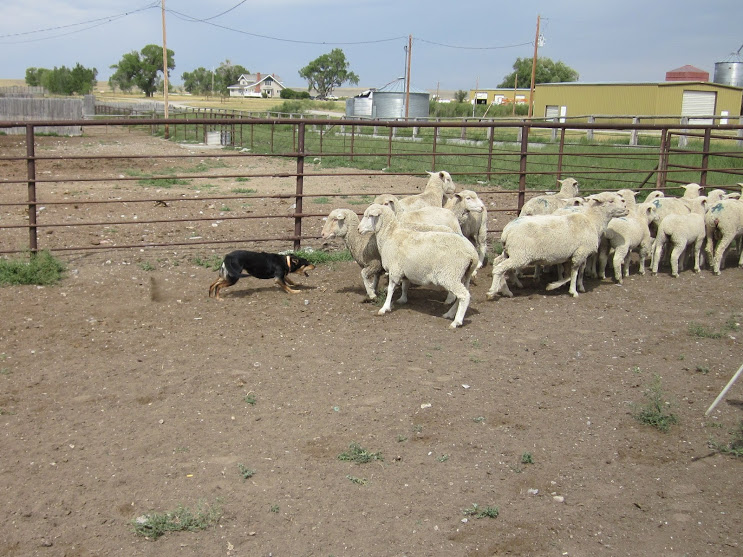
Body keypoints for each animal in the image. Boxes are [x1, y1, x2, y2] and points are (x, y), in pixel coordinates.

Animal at [488, 191, 628, 298]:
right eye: (611, 201)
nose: (626, 209)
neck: (593, 221)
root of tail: (507, 230)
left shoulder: (579, 254)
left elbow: (579, 271)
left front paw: (579, 286)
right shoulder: (580, 253)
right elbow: (573, 273)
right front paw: (570, 290)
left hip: (509, 252)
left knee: (498, 263)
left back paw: (507, 289)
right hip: (521, 255)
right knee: (500, 268)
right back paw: (493, 292)